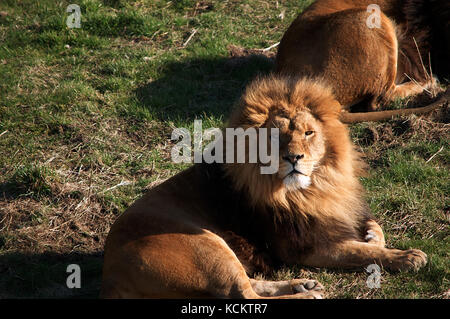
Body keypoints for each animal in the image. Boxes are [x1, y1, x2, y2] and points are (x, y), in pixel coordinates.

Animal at [100, 75, 428, 300]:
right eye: (275, 137)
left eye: (308, 133)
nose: (293, 157)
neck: (310, 189)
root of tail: (110, 273)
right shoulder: (306, 248)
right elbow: (360, 252)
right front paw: (406, 256)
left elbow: (371, 235)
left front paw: (373, 235)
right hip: (205, 245)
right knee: (243, 295)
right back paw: (308, 294)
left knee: (247, 286)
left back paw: (302, 284)